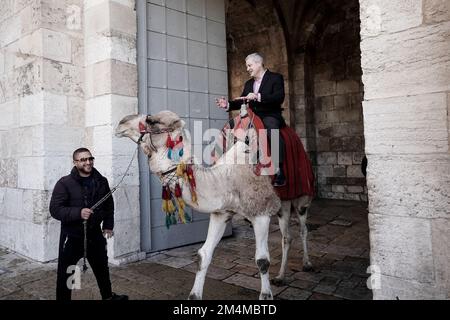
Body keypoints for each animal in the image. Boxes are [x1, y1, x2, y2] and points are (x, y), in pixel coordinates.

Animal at [115, 110, 312, 300]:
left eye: (151, 120)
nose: (121, 123)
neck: (227, 177)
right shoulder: (222, 213)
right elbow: (204, 255)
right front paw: (194, 295)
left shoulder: (260, 212)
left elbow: (262, 260)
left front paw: (266, 295)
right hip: (282, 203)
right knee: (286, 236)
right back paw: (280, 277)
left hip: (302, 197)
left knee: (303, 229)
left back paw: (307, 264)